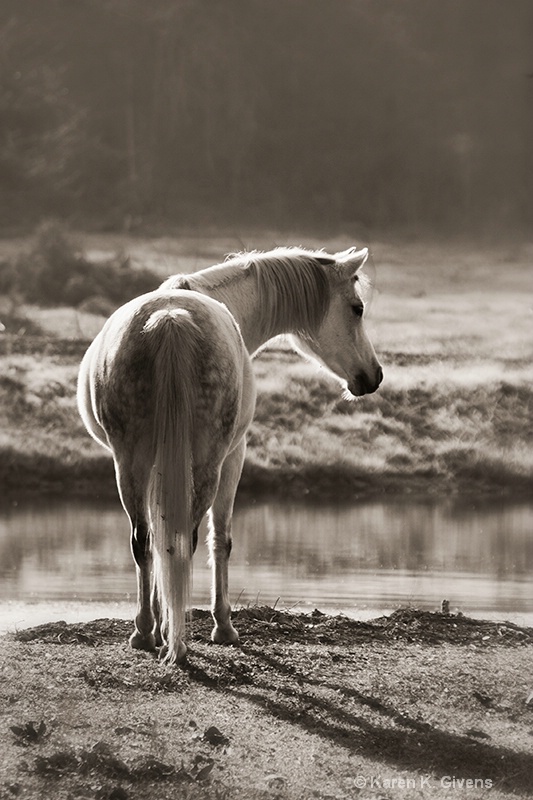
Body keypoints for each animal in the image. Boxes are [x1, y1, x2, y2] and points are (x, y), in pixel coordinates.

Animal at [77, 245, 380, 664]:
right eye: (356, 308)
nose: (374, 376)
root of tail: (170, 319)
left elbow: (157, 539)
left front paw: (156, 621)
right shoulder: (234, 456)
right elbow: (221, 540)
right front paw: (223, 626)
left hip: (130, 463)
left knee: (144, 541)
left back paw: (145, 632)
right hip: (208, 463)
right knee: (186, 541)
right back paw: (179, 640)